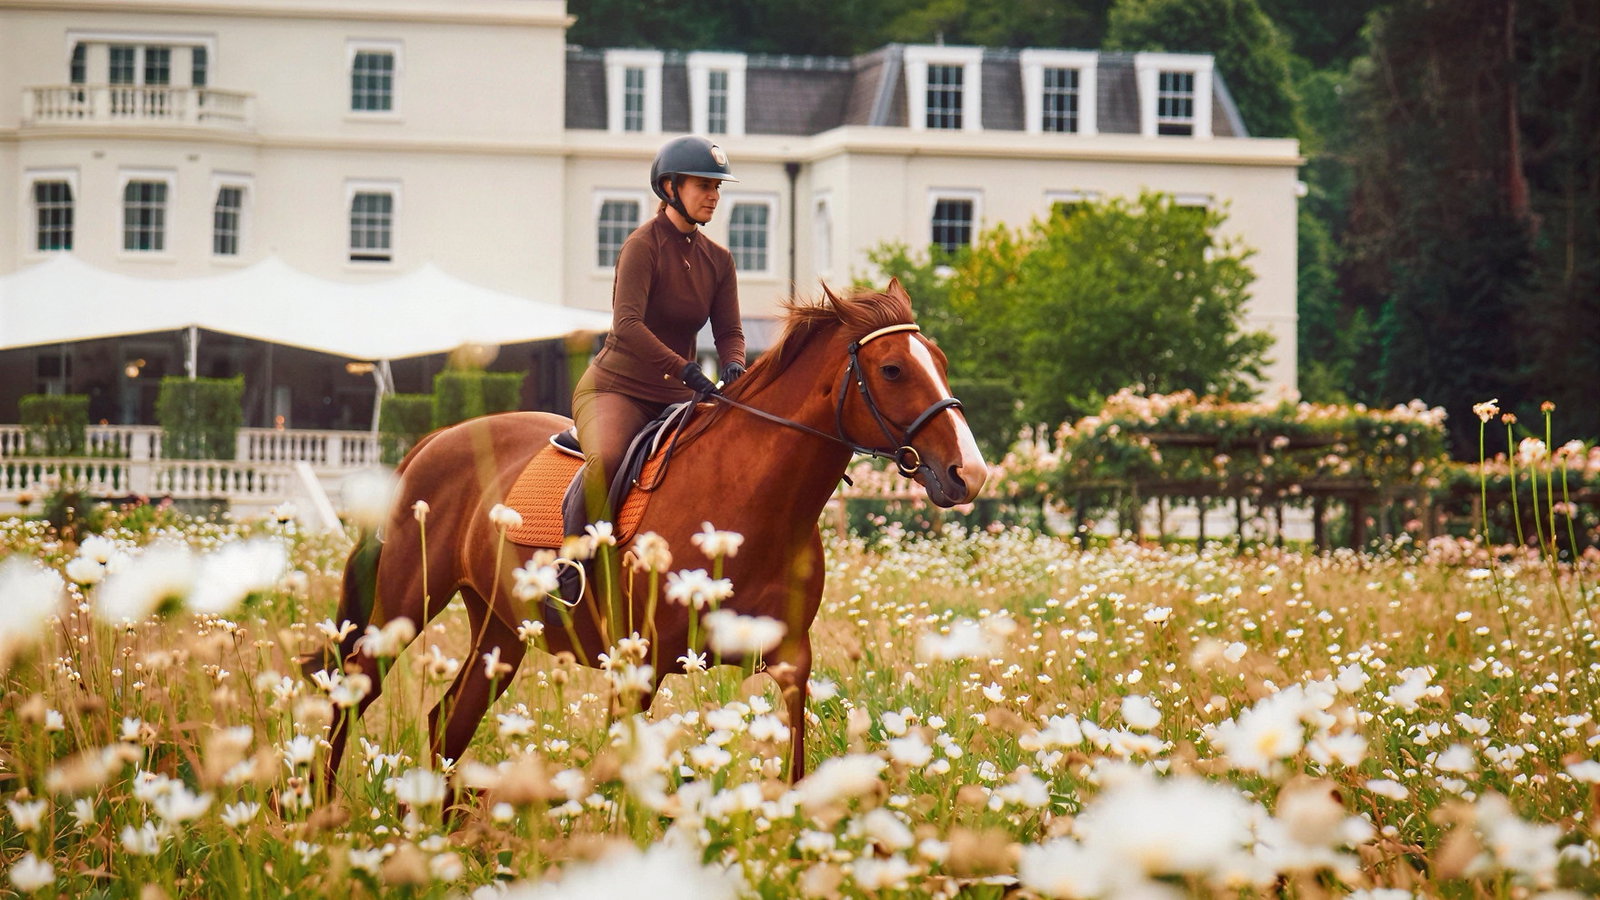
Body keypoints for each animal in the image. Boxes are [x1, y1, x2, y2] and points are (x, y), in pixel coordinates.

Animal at [313, 278, 987, 793]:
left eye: (941, 362)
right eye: (893, 369)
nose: (970, 473)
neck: (746, 502)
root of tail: (436, 440)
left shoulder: (791, 657)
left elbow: (795, 759)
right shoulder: (639, 665)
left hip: (500, 626)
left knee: (448, 720)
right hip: (404, 605)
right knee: (354, 694)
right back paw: (322, 810)